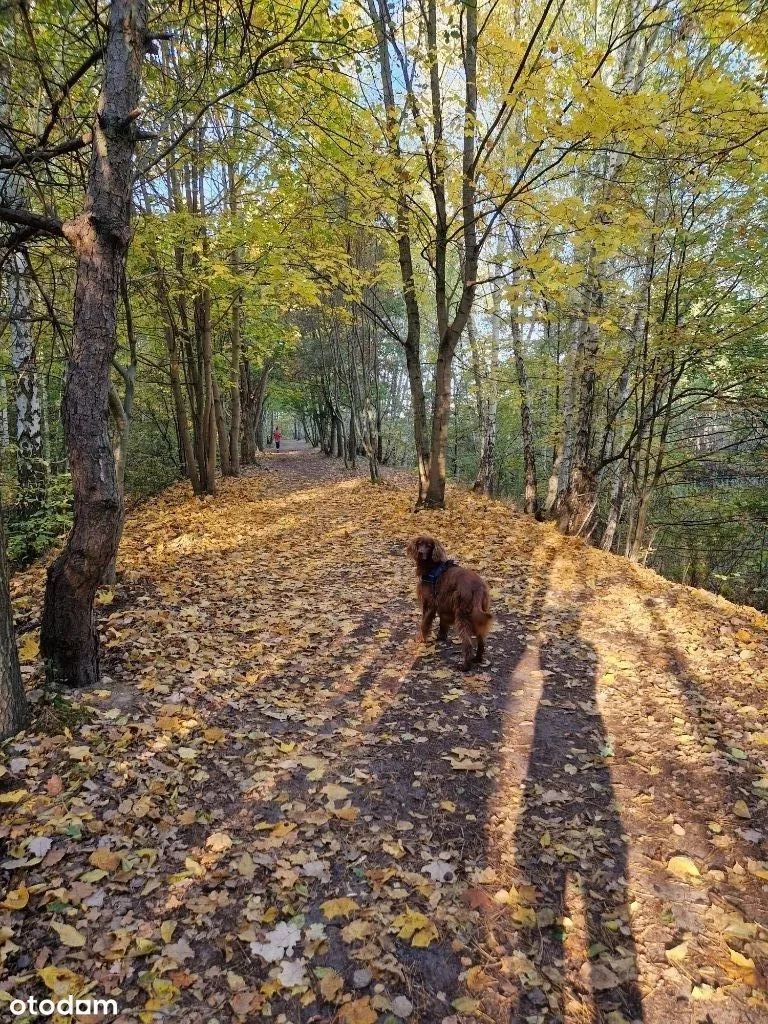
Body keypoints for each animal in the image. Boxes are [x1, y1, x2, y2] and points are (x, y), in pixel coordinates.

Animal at [405, 536, 495, 671]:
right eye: (419, 543)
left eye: (429, 546)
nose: (420, 552)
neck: (432, 567)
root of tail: (478, 587)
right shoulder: (443, 605)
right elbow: (443, 623)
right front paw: (440, 638)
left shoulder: (429, 604)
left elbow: (424, 623)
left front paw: (420, 639)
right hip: (477, 615)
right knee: (481, 638)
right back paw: (477, 659)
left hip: (462, 615)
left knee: (468, 642)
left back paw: (465, 666)